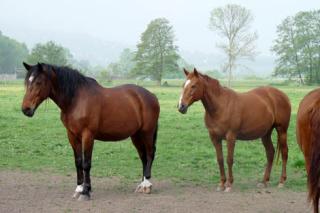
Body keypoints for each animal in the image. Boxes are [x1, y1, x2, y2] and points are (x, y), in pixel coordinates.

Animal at [20, 62, 159, 201]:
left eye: (38, 82)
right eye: (27, 82)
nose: (26, 109)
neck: (76, 100)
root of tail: (151, 96)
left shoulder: (87, 135)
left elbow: (86, 163)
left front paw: (85, 192)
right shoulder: (72, 135)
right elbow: (78, 162)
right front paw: (79, 189)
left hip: (147, 133)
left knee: (150, 154)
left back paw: (147, 185)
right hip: (136, 135)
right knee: (143, 157)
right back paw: (141, 185)